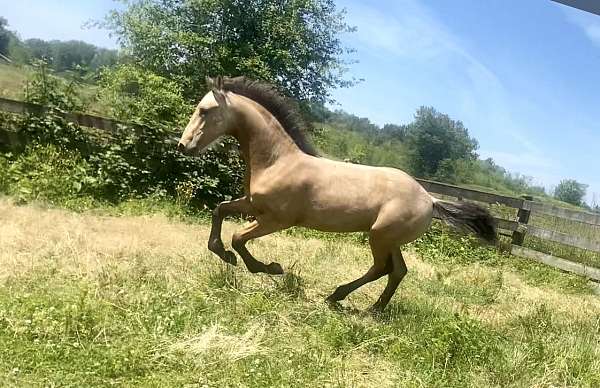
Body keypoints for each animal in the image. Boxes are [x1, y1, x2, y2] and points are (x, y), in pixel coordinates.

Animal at [178, 76, 496, 312]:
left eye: (205, 111)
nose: (184, 145)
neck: (278, 161)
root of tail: (430, 199)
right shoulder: (253, 206)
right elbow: (220, 209)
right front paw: (222, 253)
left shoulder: (277, 220)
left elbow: (238, 237)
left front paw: (269, 267)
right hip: (389, 238)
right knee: (397, 271)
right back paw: (372, 309)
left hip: (380, 237)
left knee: (381, 268)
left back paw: (337, 297)